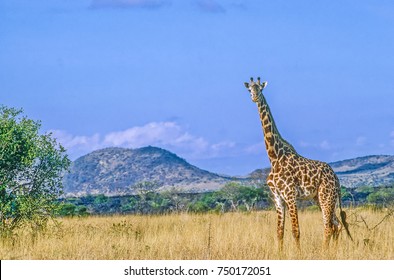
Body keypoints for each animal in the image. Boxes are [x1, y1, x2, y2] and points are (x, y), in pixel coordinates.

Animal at [245, 76, 352, 249]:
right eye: (249, 89)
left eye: (260, 89)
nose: (254, 97)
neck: (274, 157)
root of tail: (336, 178)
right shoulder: (278, 197)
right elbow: (279, 232)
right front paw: (280, 253)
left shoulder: (290, 195)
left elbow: (296, 231)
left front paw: (298, 253)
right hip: (320, 198)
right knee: (336, 224)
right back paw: (332, 251)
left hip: (326, 196)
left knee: (329, 225)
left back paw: (324, 251)